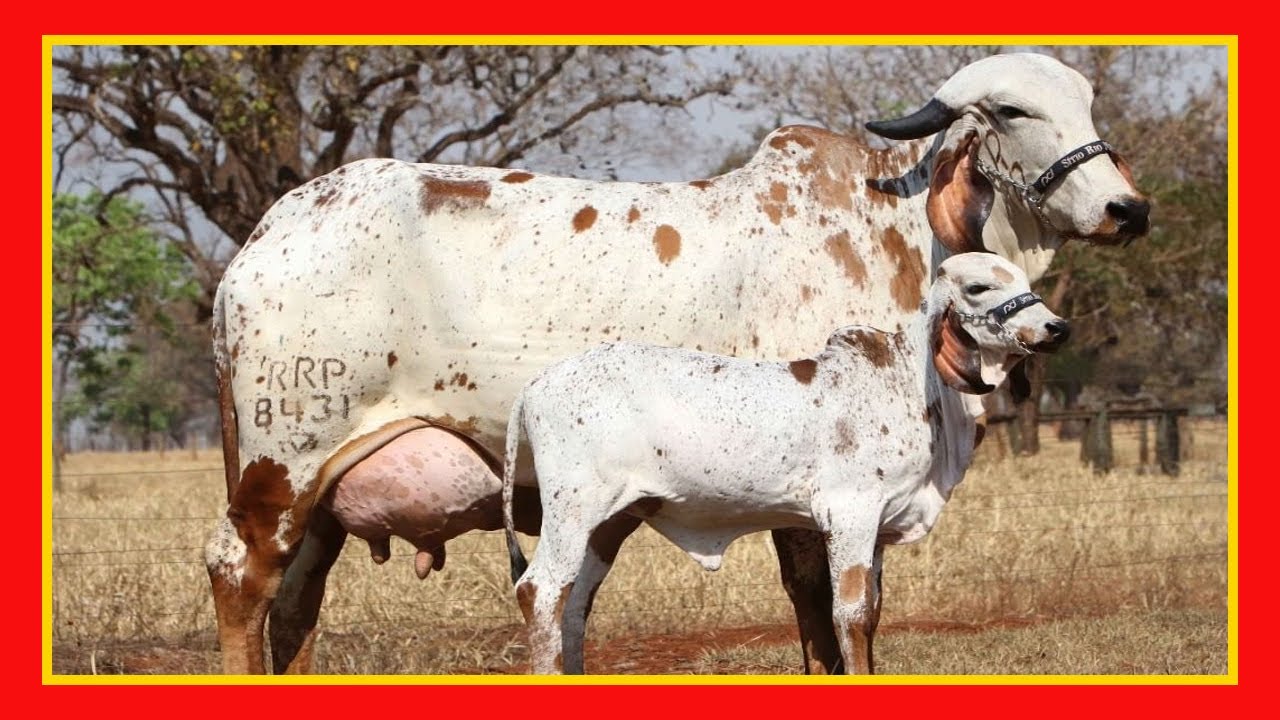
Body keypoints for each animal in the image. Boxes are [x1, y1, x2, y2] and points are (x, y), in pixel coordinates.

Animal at [501, 253, 1068, 674]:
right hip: (574, 511)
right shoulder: (850, 514)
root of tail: (535, 385)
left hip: (608, 523)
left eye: (1022, 280)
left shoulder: (877, 527)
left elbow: (871, 614)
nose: (1055, 326)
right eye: (978, 287)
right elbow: (851, 615)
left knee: (573, 606)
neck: (909, 380)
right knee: (539, 591)